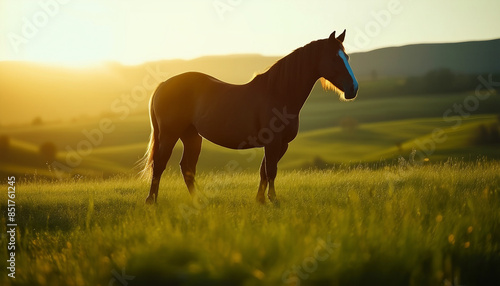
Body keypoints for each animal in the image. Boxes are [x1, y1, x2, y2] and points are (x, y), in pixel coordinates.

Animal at [143, 29, 358, 203]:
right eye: (335, 58)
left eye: (347, 57)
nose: (353, 89)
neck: (278, 93)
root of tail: (163, 84)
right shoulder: (273, 143)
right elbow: (271, 171)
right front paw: (273, 199)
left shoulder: (282, 144)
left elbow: (264, 171)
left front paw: (260, 200)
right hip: (170, 135)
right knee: (160, 164)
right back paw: (151, 200)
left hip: (192, 136)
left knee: (187, 168)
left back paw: (198, 199)